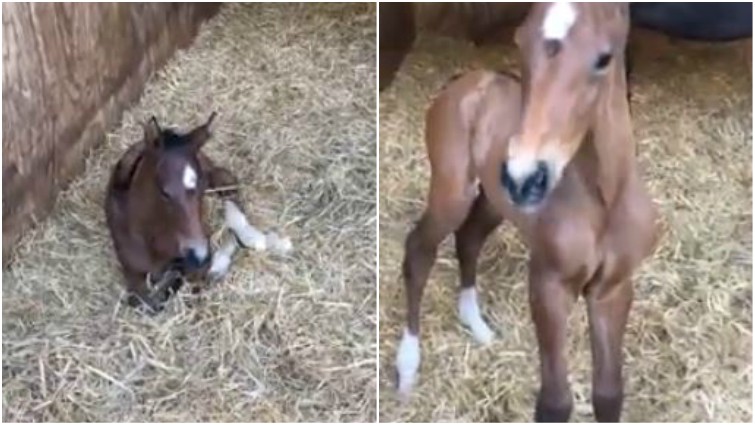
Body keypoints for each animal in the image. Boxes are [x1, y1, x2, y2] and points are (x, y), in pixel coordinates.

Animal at [106, 112, 292, 312]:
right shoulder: (132, 274)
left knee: (228, 183)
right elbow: (145, 303)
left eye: (201, 187)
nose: (199, 255)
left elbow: (195, 287)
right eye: (164, 191)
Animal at [396, 2, 660, 420]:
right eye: (520, 40)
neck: (604, 200)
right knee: (420, 248)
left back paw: (477, 325)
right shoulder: (548, 284)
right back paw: (407, 366)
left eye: (604, 58)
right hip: (453, 191)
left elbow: (608, 394)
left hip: (494, 201)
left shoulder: (613, 289)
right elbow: (554, 401)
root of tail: (466, 80)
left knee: (468, 238)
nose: (524, 176)